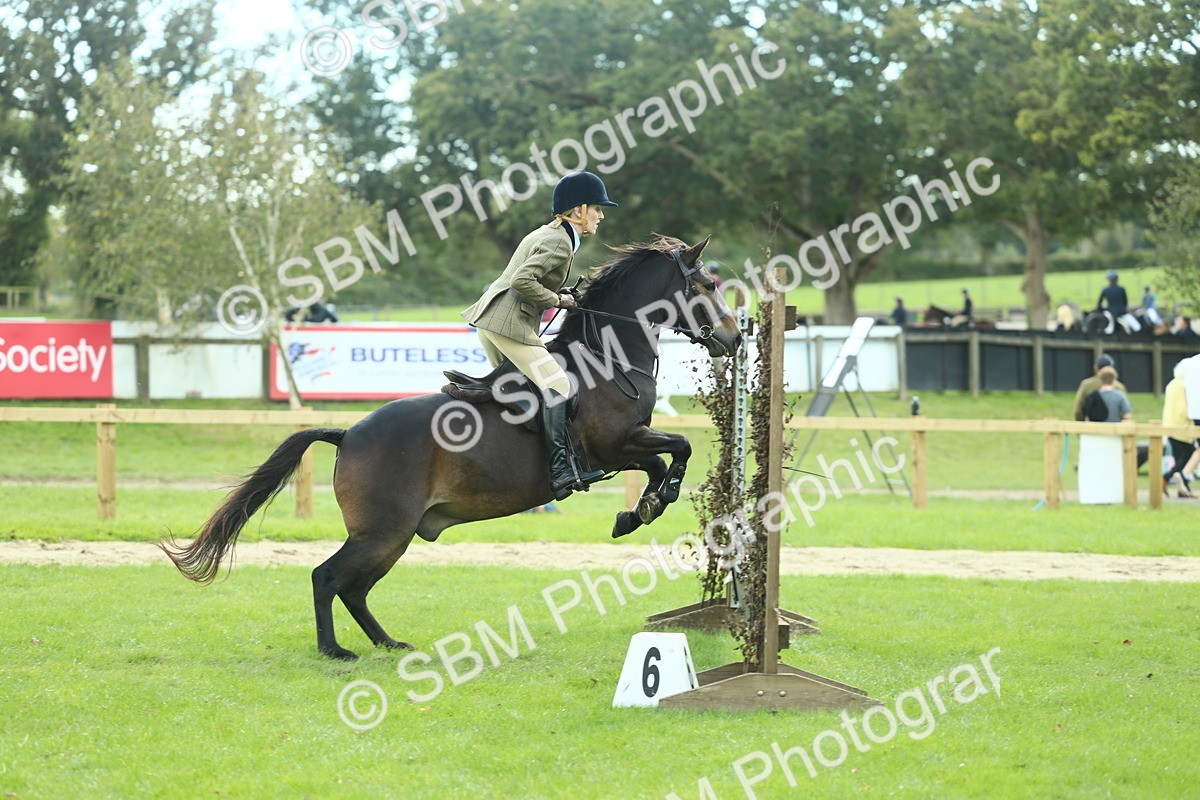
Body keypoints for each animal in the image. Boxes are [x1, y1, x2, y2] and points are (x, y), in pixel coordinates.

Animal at [160, 236, 742, 660]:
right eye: (707, 284)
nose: (735, 339)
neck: (608, 360)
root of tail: (348, 434)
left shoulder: (622, 450)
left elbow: (664, 460)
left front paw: (638, 511)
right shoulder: (614, 445)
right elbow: (679, 449)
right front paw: (645, 506)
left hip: (390, 536)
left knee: (354, 588)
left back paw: (387, 643)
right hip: (384, 530)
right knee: (329, 577)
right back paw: (335, 651)